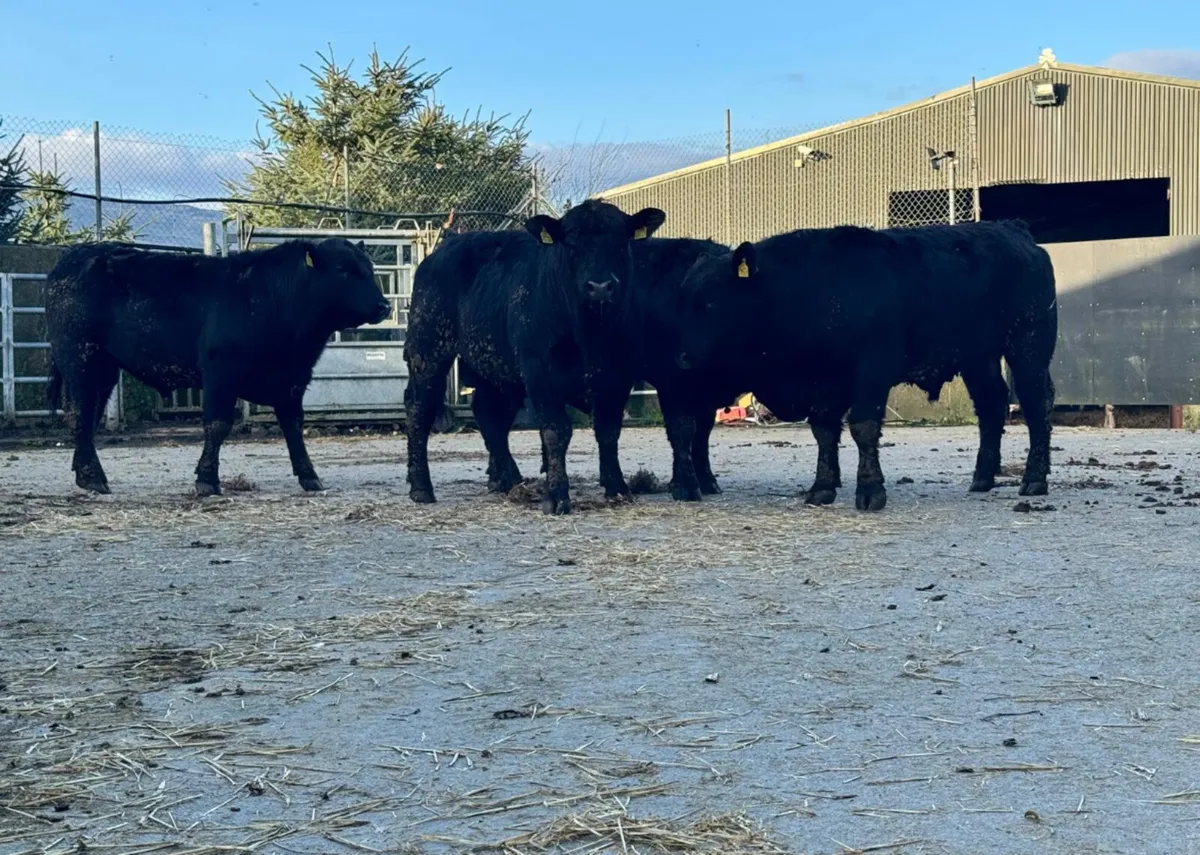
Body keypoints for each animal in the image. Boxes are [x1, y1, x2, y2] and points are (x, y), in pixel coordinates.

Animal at [45, 238, 392, 496]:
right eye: (343, 270)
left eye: (369, 268)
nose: (384, 306)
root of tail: (75, 256)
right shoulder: (220, 373)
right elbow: (217, 425)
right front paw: (207, 480)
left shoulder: (294, 379)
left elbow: (293, 425)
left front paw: (310, 476)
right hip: (80, 359)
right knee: (80, 413)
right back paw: (92, 476)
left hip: (104, 368)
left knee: (87, 416)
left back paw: (86, 474)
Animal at [403, 199, 666, 514]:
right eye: (570, 244)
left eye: (620, 241)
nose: (600, 287)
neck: (590, 333)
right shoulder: (539, 373)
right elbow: (555, 432)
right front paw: (557, 494)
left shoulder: (619, 376)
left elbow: (608, 430)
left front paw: (617, 487)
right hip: (428, 350)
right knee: (420, 409)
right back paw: (421, 486)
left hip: (495, 367)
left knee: (490, 415)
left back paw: (508, 479)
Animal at [674, 220, 1058, 510]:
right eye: (684, 300)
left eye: (710, 303)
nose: (681, 359)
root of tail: (1014, 231)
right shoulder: (823, 382)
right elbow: (824, 431)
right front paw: (822, 487)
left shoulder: (872, 370)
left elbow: (863, 426)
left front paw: (870, 490)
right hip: (978, 358)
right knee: (991, 405)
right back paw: (982, 478)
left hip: (1029, 346)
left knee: (1036, 404)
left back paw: (1034, 479)